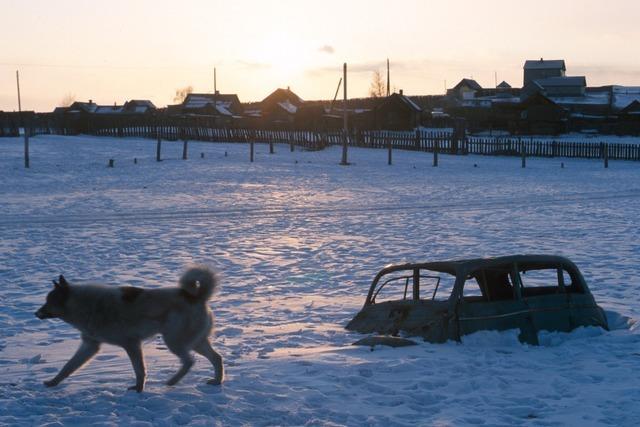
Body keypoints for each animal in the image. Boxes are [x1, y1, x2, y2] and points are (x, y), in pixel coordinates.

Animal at [36, 266, 225, 392]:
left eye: (49, 302)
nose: (35, 313)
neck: (86, 305)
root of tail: (196, 297)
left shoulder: (131, 345)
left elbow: (139, 370)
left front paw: (139, 389)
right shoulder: (90, 345)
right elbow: (68, 367)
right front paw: (53, 382)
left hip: (175, 341)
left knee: (189, 361)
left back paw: (172, 381)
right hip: (196, 342)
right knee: (217, 358)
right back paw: (217, 381)